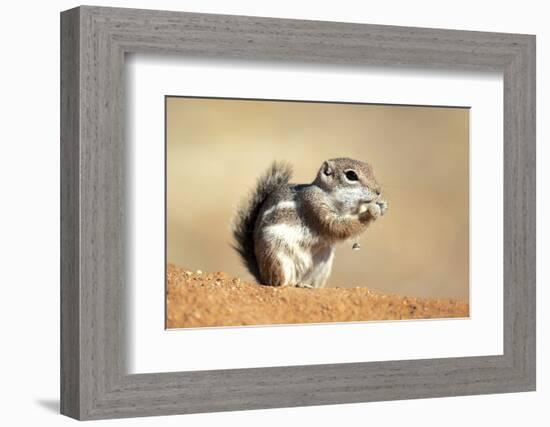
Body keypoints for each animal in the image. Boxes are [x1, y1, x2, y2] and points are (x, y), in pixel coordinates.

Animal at [233, 159, 388, 290]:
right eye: (351, 175)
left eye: (370, 169)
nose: (378, 191)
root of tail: (262, 276)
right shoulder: (314, 206)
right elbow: (338, 226)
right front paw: (372, 211)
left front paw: (382, 206)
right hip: (277, 257)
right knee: (280, 282)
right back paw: (292, 284)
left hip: (322, 265)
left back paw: (308, 285)